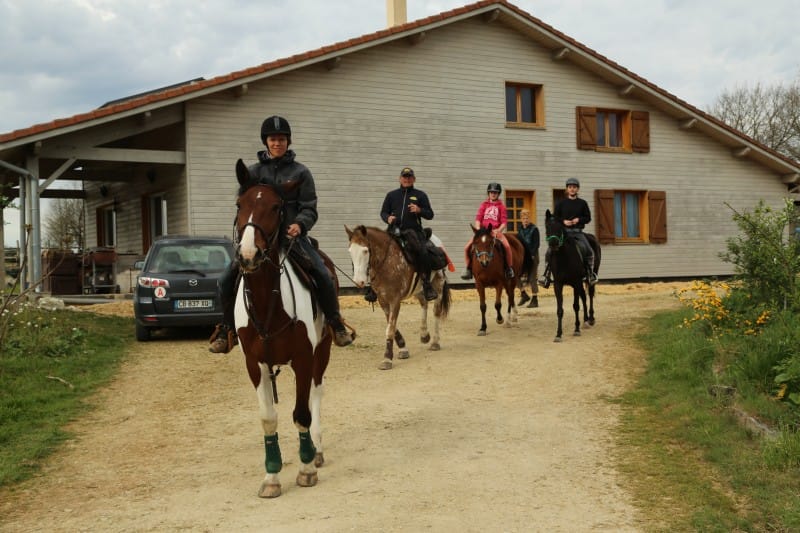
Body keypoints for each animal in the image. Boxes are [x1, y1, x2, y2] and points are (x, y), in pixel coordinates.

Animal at [231, 157, 334, 494]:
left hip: (322, 351)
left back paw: (316, 450)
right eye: (240, 204)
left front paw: (306, 469)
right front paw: (271, 476)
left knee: (316, 392)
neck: (268, 303)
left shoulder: (303, 357)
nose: (248, 254)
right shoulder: (255, 363)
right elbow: (268, 418)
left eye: (276, 207)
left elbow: (301, 413)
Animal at [346, 224, 454, 370]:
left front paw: (387, 359)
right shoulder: (383, 301)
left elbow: (390, 328)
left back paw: (435, 342)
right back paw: (424, 334)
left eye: (365, 251)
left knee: (436, 311)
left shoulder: (395, 300)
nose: (359, 281)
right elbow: (391, 325)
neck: (387, 262)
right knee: (424, 304)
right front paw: (403, 349)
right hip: (418, 289)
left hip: (438, 283)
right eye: (350, 251)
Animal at [544, 208, 600, 340]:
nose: (553, 244)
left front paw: (576, 329)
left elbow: (576, 306)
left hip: (591, 276)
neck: (563, 258)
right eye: (547, 226)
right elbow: (560, 309)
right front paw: (558, 334)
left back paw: (590, 318)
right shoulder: (558, 285)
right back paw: (585, 320)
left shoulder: (575, 282)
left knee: (590, 294)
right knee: (584, 296)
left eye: (559, 226)